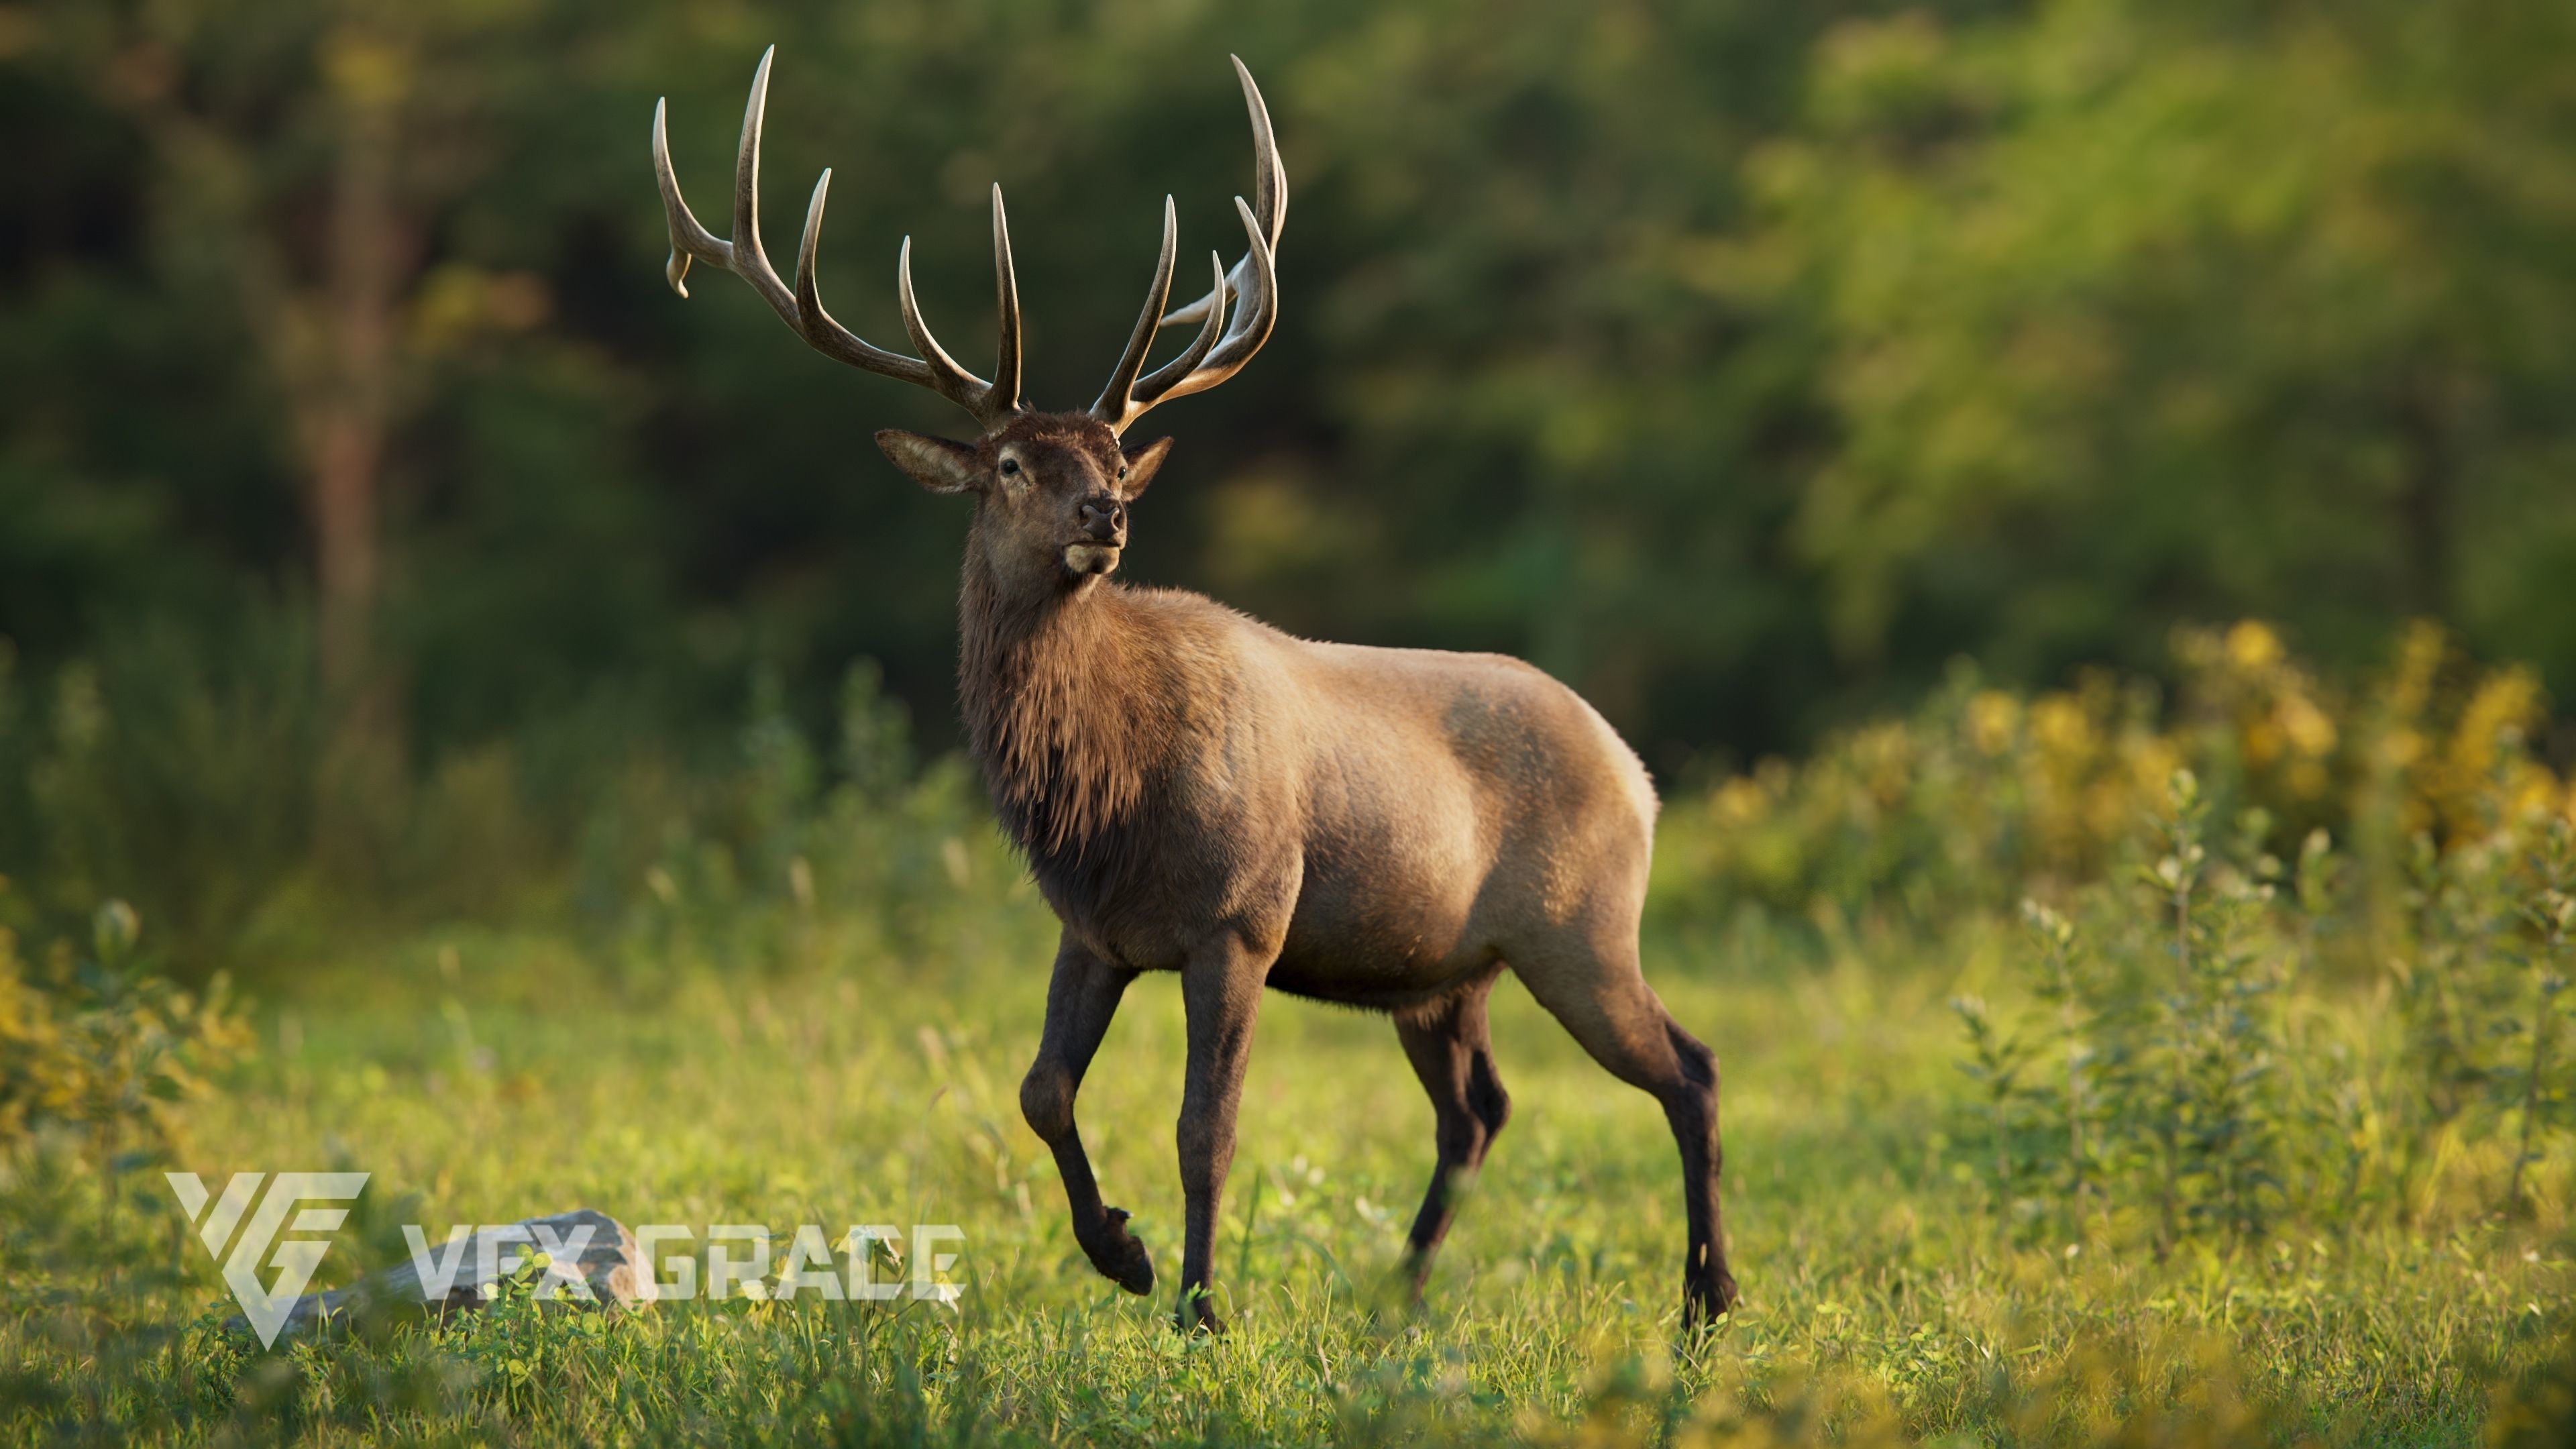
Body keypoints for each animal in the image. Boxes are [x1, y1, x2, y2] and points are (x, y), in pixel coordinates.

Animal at [652, 48, 1739, 1334]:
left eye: (1116, 455)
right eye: (1010, 462)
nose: (1106, 517)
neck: (1108, 799)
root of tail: (1638, 771)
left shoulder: (1243, 916)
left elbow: (1202, 1130)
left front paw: (1201, 1307)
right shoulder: (1094, 928)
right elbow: (1039, 1091)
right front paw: (1119, 1253)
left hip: (1581, 924)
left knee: (1687, 1069)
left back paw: (1706, 1298)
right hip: (1440, 972)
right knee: (1480, 1110)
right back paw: (1400, 1298)